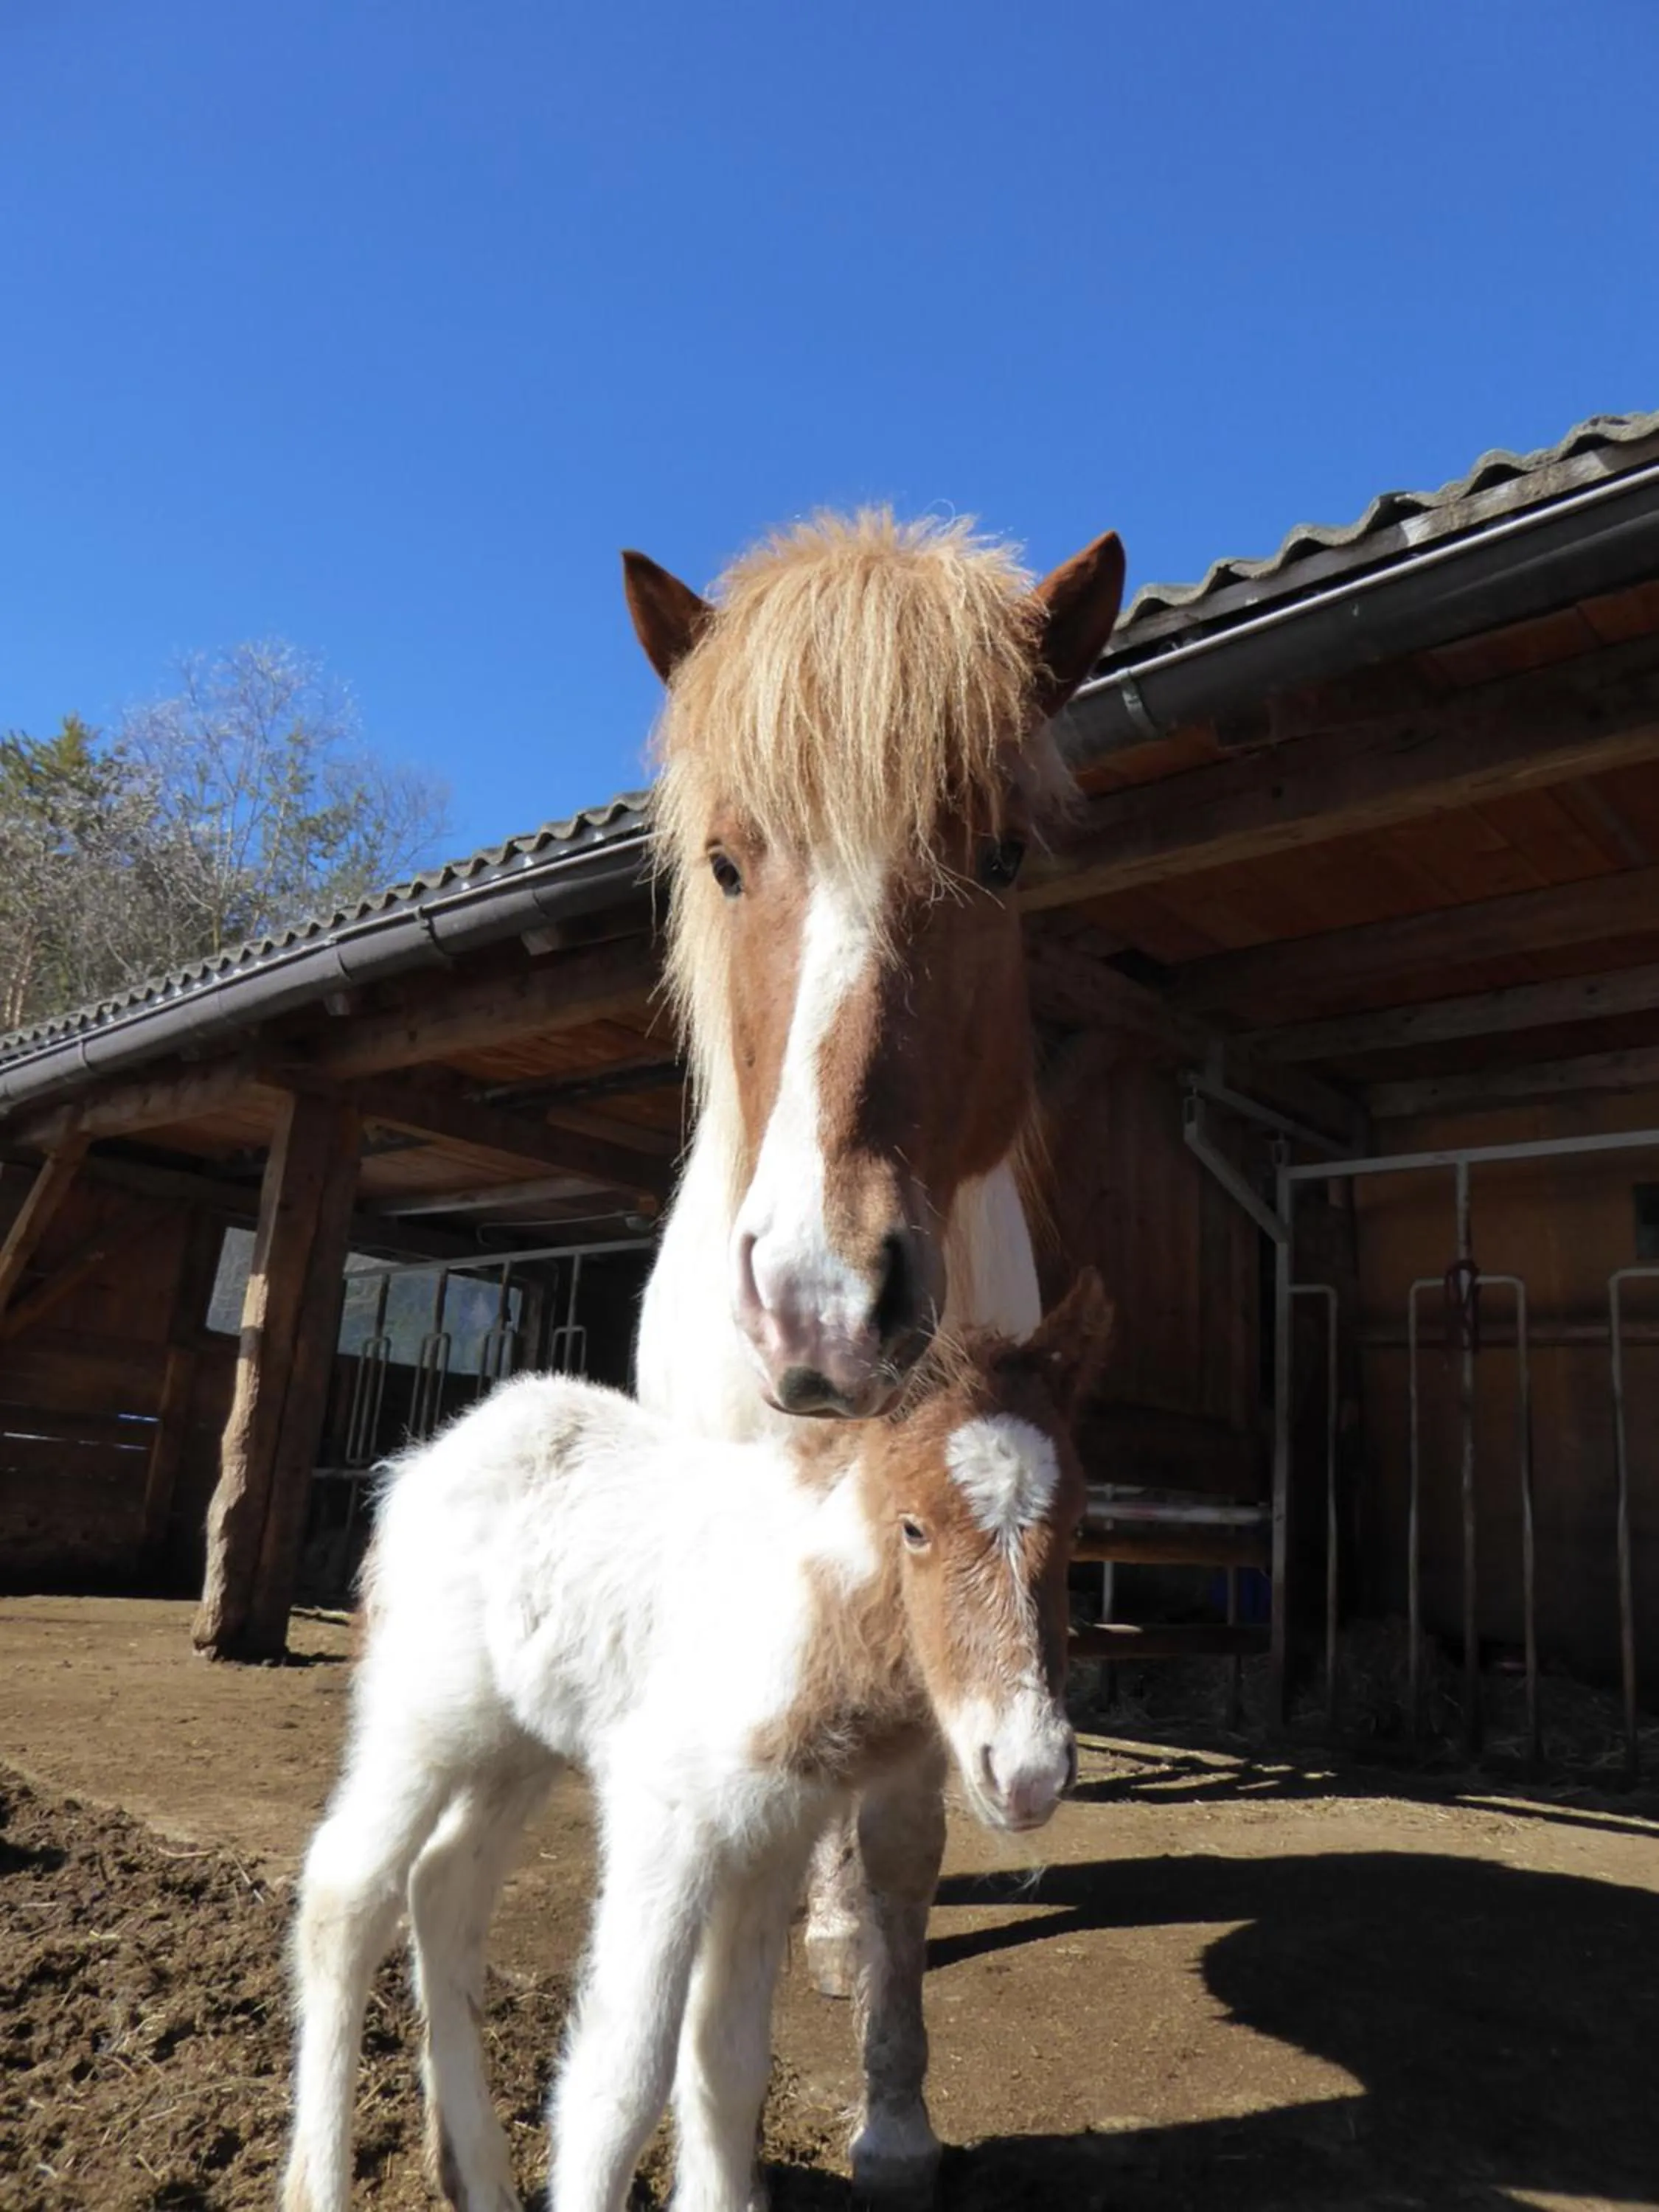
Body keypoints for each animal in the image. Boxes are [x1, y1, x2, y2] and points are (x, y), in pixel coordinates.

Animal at [280, 1275, 1110, 2212]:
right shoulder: (665, 1819)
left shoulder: (772, 1839)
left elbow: (728, 2065)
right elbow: (621, 2085)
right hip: (421, 1718)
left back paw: (481, 2180)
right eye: (914, 1528)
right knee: (345, 1892)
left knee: (445, 1889)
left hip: (516, 1746)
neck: (807, 1611)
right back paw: (316, 2187)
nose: (1028, 1771)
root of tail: (432, 1455)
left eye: (1078, 1528)